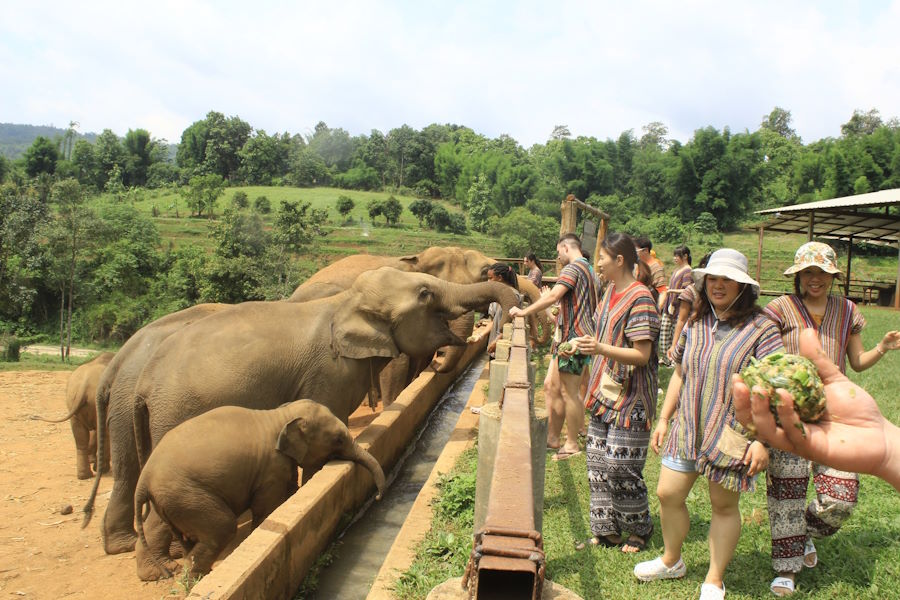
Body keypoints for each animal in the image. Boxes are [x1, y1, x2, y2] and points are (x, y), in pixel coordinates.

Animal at [134, 400, 386, 580]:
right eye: (339, 439)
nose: (377, 497)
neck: (280, 416)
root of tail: (143, 478)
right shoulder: (271, 468)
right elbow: (267, 506)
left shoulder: (281, 463)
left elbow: (290, 489)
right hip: (186, 496)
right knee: (223, 527)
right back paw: (195, 579)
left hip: (172, 502)